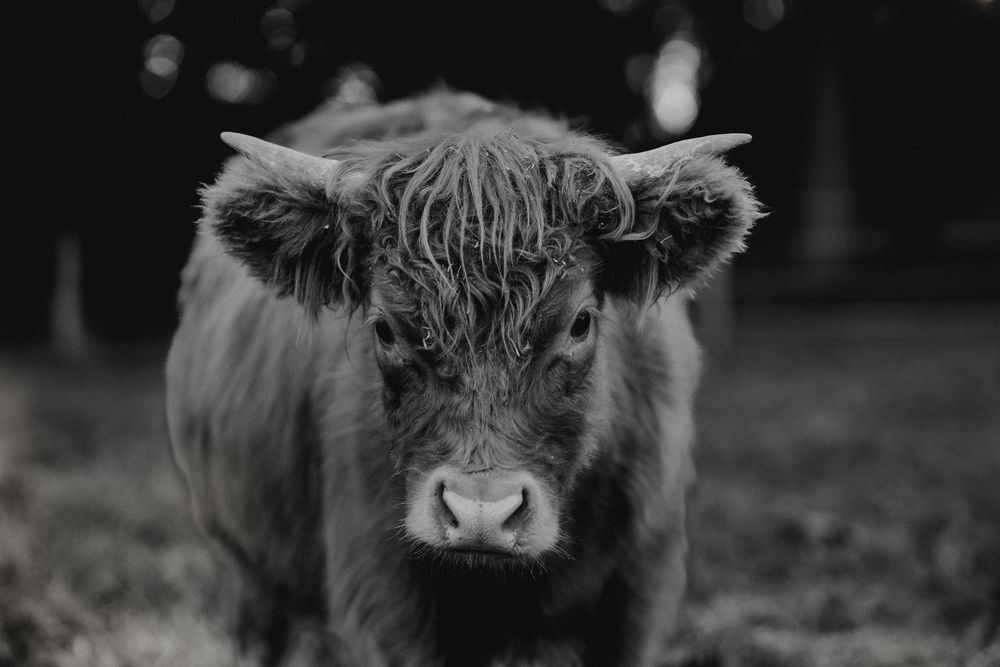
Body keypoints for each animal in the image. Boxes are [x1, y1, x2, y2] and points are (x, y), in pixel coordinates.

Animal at [165, 90, 761, 666]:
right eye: (385, 328)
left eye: (580, 322)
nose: (482, 514)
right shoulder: (385, 602)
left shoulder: (637, 594)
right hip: (247, 570)